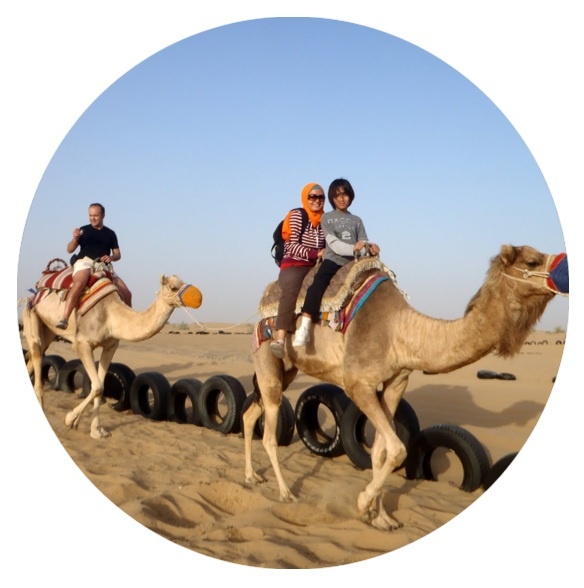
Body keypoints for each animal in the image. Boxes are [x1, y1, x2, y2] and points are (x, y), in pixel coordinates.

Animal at [23, 268, 203, 438]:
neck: (111, 315)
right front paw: (70, 419)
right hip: (31, 316)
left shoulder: (110, 346)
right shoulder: (82, 344)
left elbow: (100, 387)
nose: (199, 298)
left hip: (49, 331)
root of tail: (34, 293)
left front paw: (96, 431)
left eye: (183, 281)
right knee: (36, 355)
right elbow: (96, 386)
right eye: (173, 287)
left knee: (33, 358)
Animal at [243, 246, 564, 532]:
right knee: (269, 430)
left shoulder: (396, 383)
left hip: (288, 368)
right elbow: (397, 450)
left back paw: (251, 477)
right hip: (267, 355)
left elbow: (380, 452)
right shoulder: (358, 384)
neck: (402, 330)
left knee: (251, 413)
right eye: (533, 261)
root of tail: (259, 312)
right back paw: (285, 492)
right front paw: (363, 504)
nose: (565, 268)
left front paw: (382, 518)